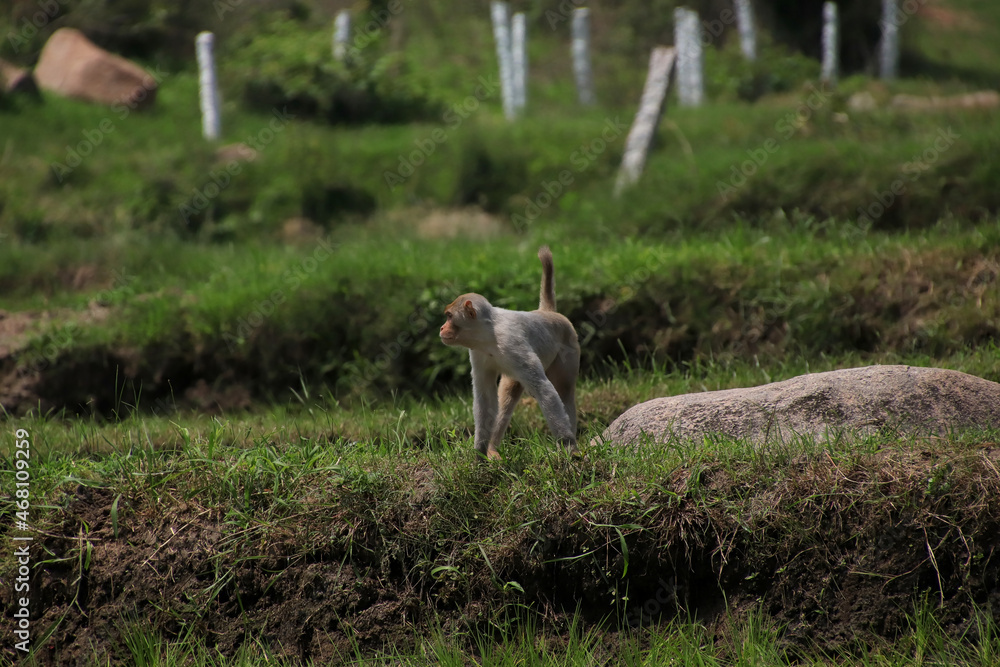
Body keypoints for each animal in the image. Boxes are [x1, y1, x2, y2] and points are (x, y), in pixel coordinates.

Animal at [438, 245, 580, 460]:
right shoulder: (477, 353)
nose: (441, 328)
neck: (489, 335)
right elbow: (485, 398)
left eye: (449, 316)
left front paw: (568, 446)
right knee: (508, 393)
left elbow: (543, 388)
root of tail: (548, 313)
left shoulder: (511, 344)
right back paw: (492, 450)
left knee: (564, 389)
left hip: (569, 345)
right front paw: (479, 452)